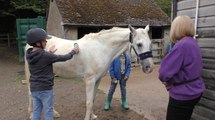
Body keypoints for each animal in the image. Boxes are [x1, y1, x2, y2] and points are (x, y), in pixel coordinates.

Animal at [24, 24, 153, 119]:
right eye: (139, 44)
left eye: (150, 43)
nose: (149, 67)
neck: (100, 48)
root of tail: (29, 46)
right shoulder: (89, 80)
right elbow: (89, 102)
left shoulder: (97, 80)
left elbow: (93, 99)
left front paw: (93, 116)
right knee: (30, 93)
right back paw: (31, 114)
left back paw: (55, 113)